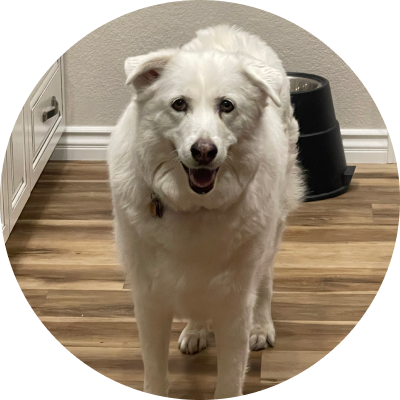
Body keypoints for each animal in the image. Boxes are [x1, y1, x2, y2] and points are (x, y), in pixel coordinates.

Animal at [108, 25, 304, 400]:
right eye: (179, 104)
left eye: (226, 106)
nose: (203, 151)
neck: (195, 206)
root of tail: (229, 30)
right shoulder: (150, 302)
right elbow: (155, 373)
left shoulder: (234, 305)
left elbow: (229, 376)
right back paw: (196, 330)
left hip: (273, 233)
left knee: (266, 280)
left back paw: (262, 326)